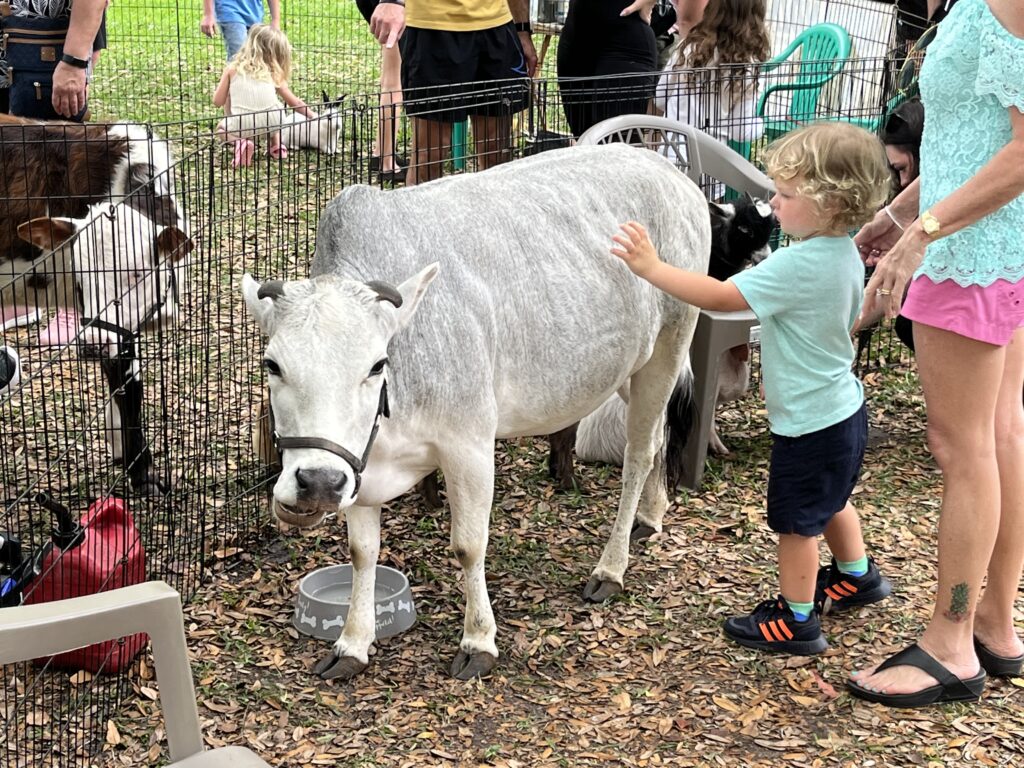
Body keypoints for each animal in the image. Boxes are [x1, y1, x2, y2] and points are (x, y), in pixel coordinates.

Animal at [245, 143, 712, 679]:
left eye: (377, 364)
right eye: (272, 364)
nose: (318, 483)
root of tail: (665, 168)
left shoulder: (467, 444)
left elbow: (469, 544)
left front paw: (478, 640)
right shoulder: (361, 463)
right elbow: (363, 552)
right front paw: (352, 644)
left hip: (671, 343)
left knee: (639, 451)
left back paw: (611, 567)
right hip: (626, 369)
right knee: (657, 436)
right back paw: (652, 514)